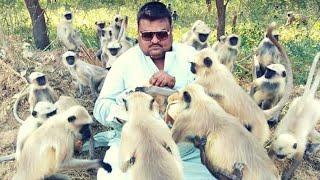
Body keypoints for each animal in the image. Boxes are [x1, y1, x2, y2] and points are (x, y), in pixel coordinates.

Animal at [272, 52, 320, 180]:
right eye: (278, 154)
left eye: (283, 155)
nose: (279, 158)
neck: (290, 133)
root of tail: (307, 98)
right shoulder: (275, 141)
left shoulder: (299, 148)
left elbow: (297, 161)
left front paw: (286, 175)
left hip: (315, 115)